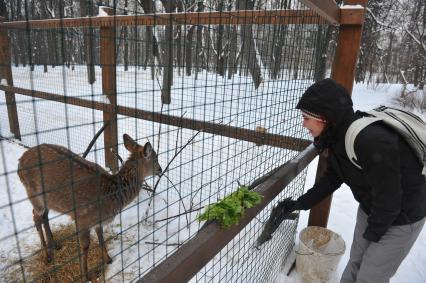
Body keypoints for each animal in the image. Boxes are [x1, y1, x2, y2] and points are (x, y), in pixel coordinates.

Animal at [17, 135, 161, 282]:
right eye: (155, 159)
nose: (160, 170)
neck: (111, 194)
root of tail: (20, 162)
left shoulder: (98, 221)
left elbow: (101, 238)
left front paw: (108, 259)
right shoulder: (82, 219)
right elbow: (85, 246)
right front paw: (85, 276)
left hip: (48, 200)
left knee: (44, 216)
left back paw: (55, 244)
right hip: (33, 194)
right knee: (36, 216)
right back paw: (47, 256)